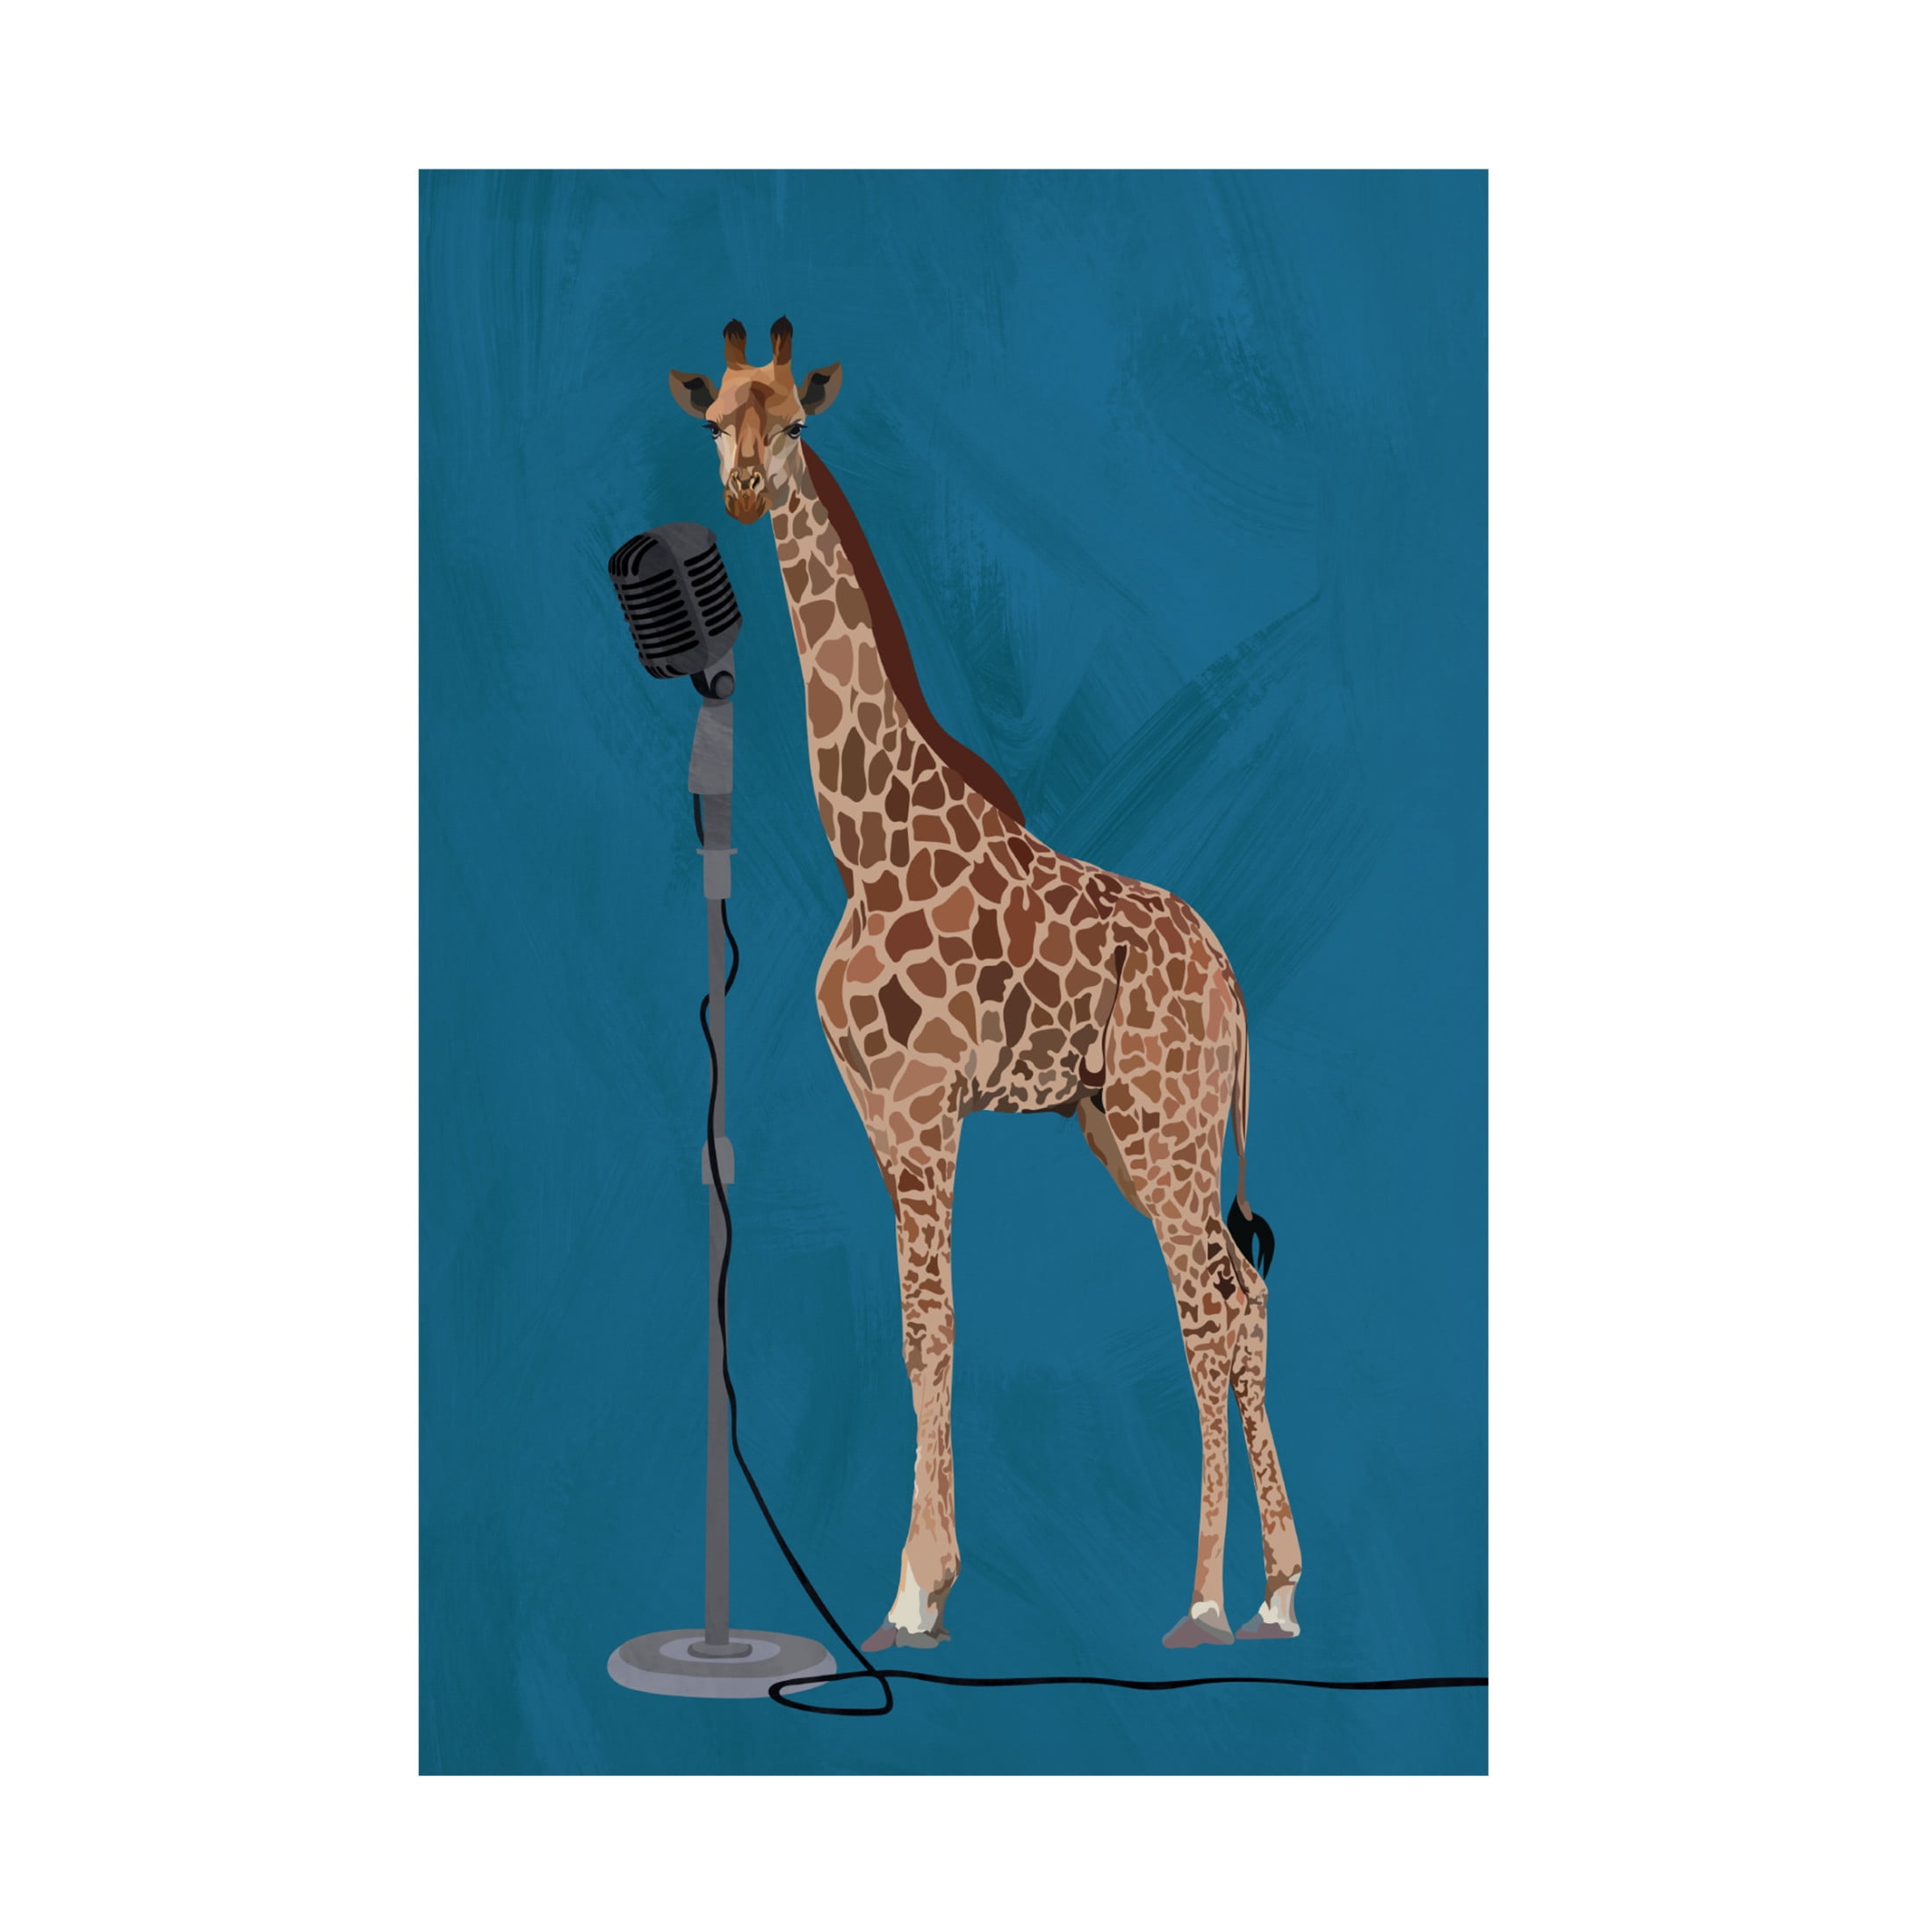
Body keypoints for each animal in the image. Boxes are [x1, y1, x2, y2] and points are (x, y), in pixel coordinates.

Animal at [668, 318, 1304, 1651]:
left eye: (792, 421)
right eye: (712, 420)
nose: (744, 491)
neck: (864, 840)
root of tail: (1231, 977)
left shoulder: (924, 1110)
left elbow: (932, 1328)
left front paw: (917, 1588)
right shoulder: (879, 1112)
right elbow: (919, 1332)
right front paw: (922, 1582)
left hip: (1168, 1128)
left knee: (1207, 1310)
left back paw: (1205, 1602)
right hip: (1122, 1127)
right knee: (1241, 1295)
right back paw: (1275, 1589)